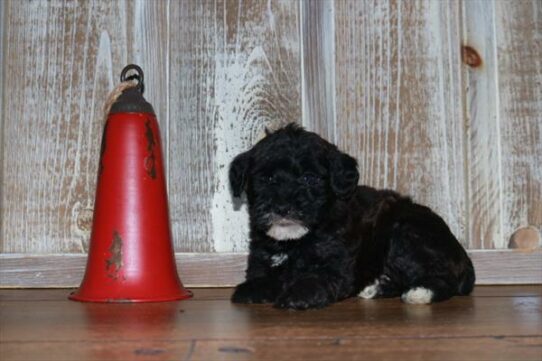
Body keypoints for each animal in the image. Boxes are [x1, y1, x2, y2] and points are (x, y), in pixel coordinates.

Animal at [230, 124, 476, 310]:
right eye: (266, 179)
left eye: (309, 178)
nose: (282, 206)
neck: (294, 241)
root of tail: (462, 256)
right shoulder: (262, 257)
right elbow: (264, 276)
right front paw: (252, 289)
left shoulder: (336, 265)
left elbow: (316, 278)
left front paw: (296, 294)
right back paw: (375, 287)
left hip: (406, 234)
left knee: (443, 279)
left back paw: (419, 292)